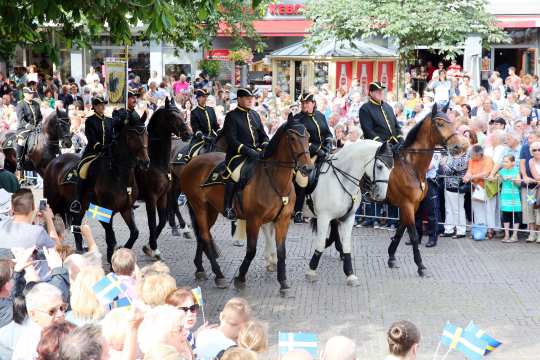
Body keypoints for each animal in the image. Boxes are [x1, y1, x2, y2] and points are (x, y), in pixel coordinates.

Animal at [43, 115, 150, 258]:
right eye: (132, 136)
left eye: (146, 134)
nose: (145, 162)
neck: (118, 175)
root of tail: (54, 161)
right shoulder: (104, 211)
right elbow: (111, 237)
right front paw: (112, 258)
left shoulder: (126, 209)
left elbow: (134, 233)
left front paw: (122, 252)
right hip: (53, 203)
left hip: (79, 207)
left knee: (76, 223)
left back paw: (80, 249)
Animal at [136, 97, 191, 258]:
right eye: (172, 115)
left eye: (182, 112)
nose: (188, 133)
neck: (156, 163)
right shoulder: (151, 198)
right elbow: (152, 222)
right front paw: (154, 248)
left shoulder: (162, 196)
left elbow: (161, 221)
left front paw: (149, 246)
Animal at [180, 121, 312, 296]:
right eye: (292, 138)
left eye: (308, 137)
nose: (308, 168)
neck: (274, 180)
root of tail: (193, 162)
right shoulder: (254, 221)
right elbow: (251, 250)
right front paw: (240, 278)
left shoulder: (283, 221)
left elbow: (282, 252)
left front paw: (283, 282)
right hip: (199, 207)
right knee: (205, 236)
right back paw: (219, 275)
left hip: (211, 210)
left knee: (202, 235)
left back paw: (200, 268)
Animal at [258, 139, 392, 286]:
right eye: (379, 166)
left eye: (391, 168)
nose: (380, 195)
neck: (341, 180)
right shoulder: (324, 217)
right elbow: (321, 243)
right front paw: (311, 270)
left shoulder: (348, 218)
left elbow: (346, 245)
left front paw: (350, 274)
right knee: (266, 228)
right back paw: (272, 259)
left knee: (268, 229)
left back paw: (272, 259)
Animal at [386, 102, 470, 278]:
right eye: (440, 124)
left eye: (452, 122)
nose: (459, 146)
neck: (410, 165)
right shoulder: (407, 205)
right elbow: (413, 235)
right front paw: (420, 266)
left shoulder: (412, 205)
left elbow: (401, 230)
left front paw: (391, 257)